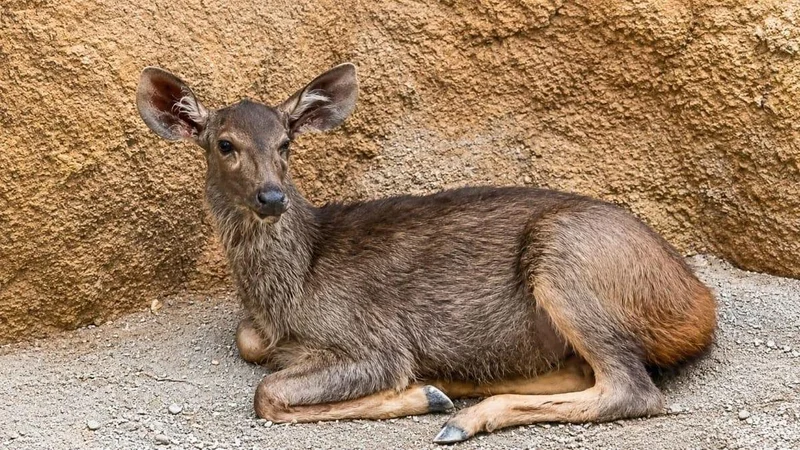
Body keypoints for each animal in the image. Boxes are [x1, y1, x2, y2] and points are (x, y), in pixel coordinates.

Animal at [135, 62, 717, 444]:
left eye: (285, 143)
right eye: (224, 144)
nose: (272, 197)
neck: (292, 287)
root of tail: (702, 304)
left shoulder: (371, 338)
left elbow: (268, 393)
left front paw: (418, 394)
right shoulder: (265, 333)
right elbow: (249, 344)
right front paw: (428, 390)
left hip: (565, 256)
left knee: (632, 388)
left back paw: (459, 415)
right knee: (585, 371)